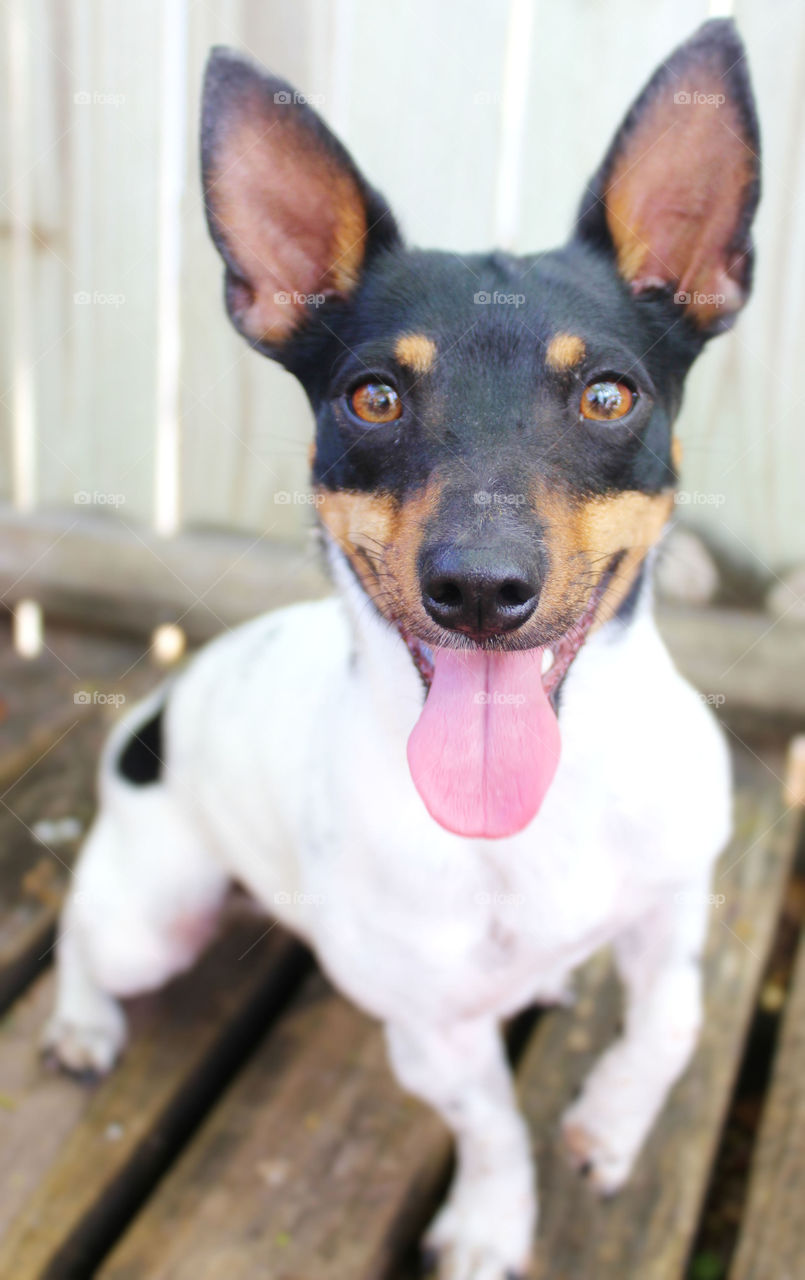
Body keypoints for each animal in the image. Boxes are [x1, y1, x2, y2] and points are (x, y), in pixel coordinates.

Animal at [45, 20, 757, 1280]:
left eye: (609, 394)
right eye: (372, 397)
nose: (478, 587)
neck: (543, 801)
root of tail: (151, 719)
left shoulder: (674, 901)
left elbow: (672, 1021)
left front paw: (608, 1124)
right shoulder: (429, 1032)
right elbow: (490, 1125)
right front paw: (491, 1221)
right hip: (152, 916)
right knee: (87, 935)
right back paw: (80, 1020)